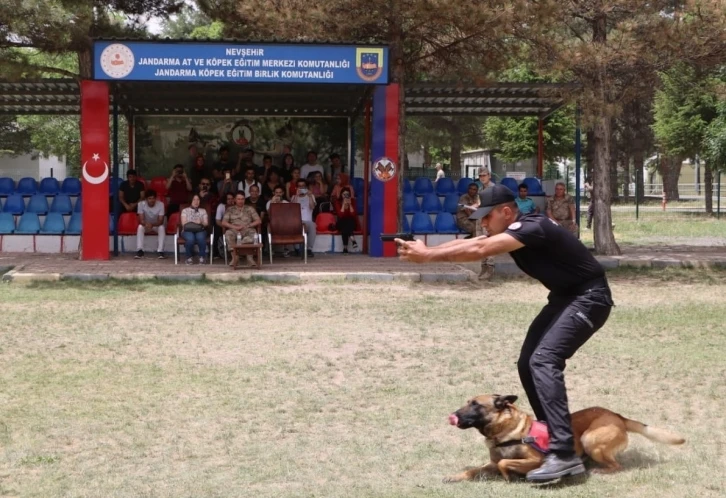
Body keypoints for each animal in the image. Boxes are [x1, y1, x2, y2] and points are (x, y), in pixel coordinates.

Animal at [444, 392, 688, 482]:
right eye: (467, 402)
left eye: (475, 405)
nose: (454, 415)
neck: (506, 432)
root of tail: (617, 416)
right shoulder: (491, 462)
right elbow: (474, 469)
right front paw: (455, 476)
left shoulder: (535, 461)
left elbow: (505, 463)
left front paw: (509, 476)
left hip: (590, 439)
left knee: (616, 465)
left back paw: (600, 470)